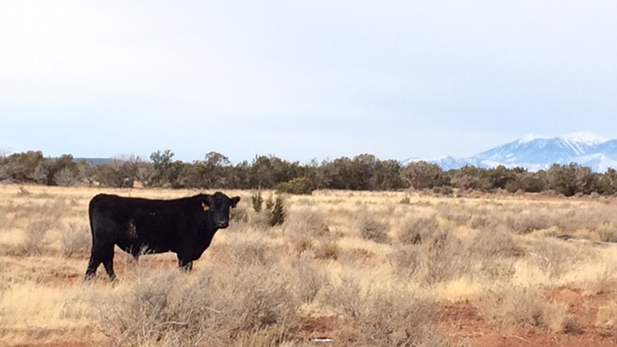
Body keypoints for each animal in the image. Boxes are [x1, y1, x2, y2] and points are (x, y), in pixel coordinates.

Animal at [85, 192, 239, 282]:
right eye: (212, 208)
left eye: (228, 207)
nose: (222, 222)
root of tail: (103, 196)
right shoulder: (186, 251)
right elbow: (185, 269)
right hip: (103, 241)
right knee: (97, 260)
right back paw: (88, 281)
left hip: (106, 243)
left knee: (106, 260)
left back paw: (114, 281)